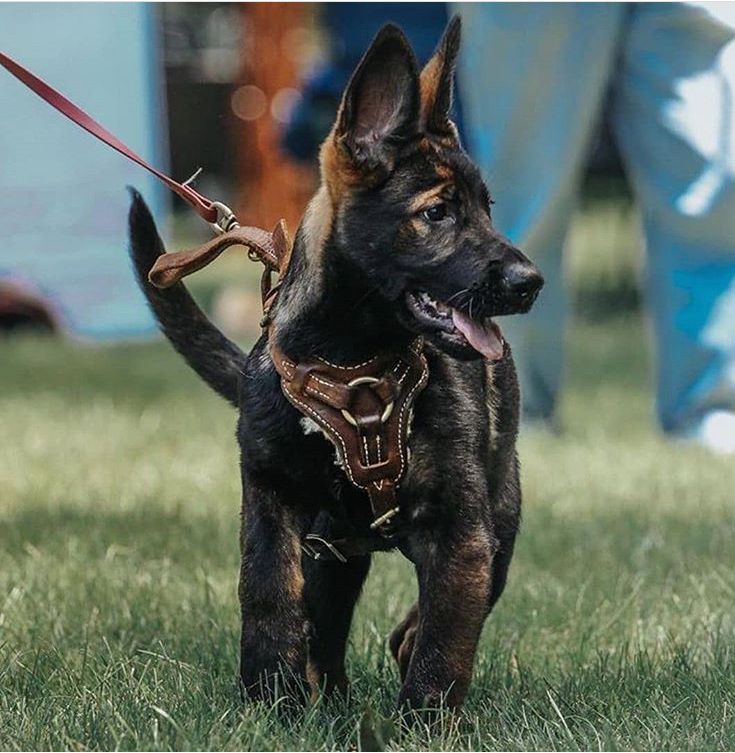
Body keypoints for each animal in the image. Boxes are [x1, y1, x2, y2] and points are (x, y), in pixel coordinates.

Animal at [126, 17, 540, 712]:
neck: (353, 363)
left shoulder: (462, 529)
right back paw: (327, 698)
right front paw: (270, 703)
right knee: (328, 623)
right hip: (334, 547)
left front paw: (424, 721)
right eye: (436, 213)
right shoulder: (270, 499)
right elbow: (268, 595)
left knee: (437, 616)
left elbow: (445, 640)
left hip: (499, 514)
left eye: (488, 209)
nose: (529, 282)